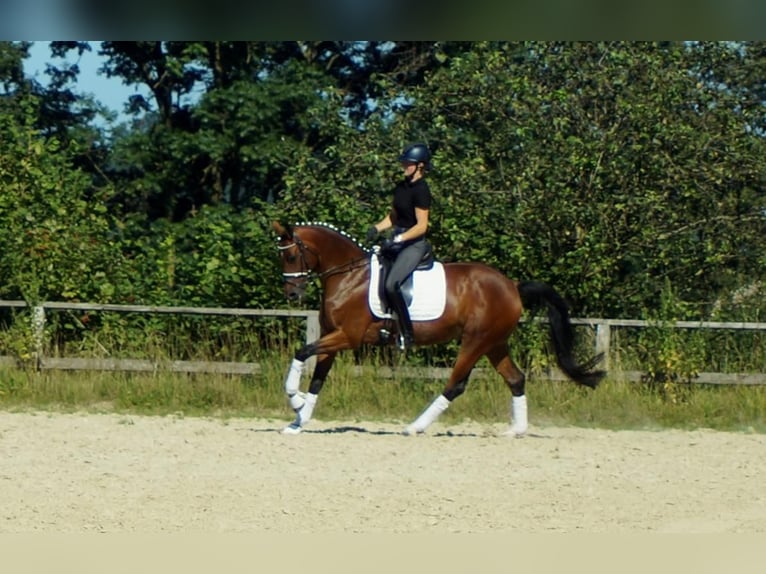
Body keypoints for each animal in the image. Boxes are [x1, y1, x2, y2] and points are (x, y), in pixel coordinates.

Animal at [272, 222, 604, 436]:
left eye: (291, 256)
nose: (292, 295)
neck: (349, 276)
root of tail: (513, 285)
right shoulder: (333, 336)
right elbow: (318, 377)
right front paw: (299, 420)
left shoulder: (347, 337)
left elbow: (301, 352)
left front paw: (294, 400)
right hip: (495, 343)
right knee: (516, 379)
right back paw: (516, 431)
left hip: (475, 341)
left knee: (455, 384)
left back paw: (415, 427)